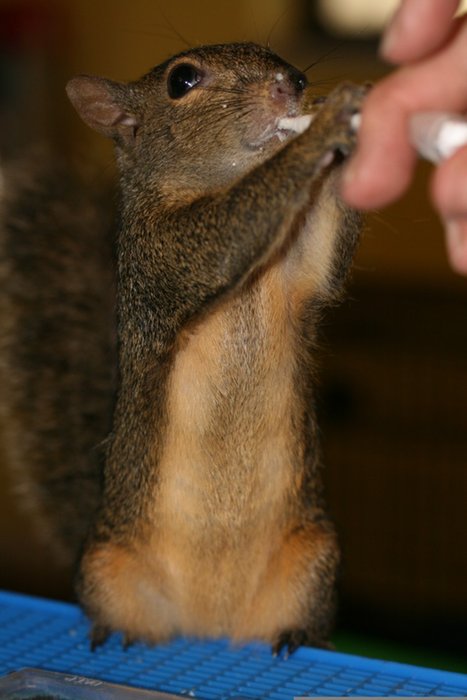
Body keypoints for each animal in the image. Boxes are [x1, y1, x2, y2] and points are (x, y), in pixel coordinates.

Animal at [0, 43, 368, 652]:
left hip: (313, 558)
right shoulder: (161, 254)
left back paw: (298, 636)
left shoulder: (299, 270)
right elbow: (223, 234)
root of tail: (209, 621)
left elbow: (325, 259)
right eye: (182, 81)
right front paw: (327, 124)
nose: (292, 84)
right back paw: (122, 631)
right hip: (106, 563)